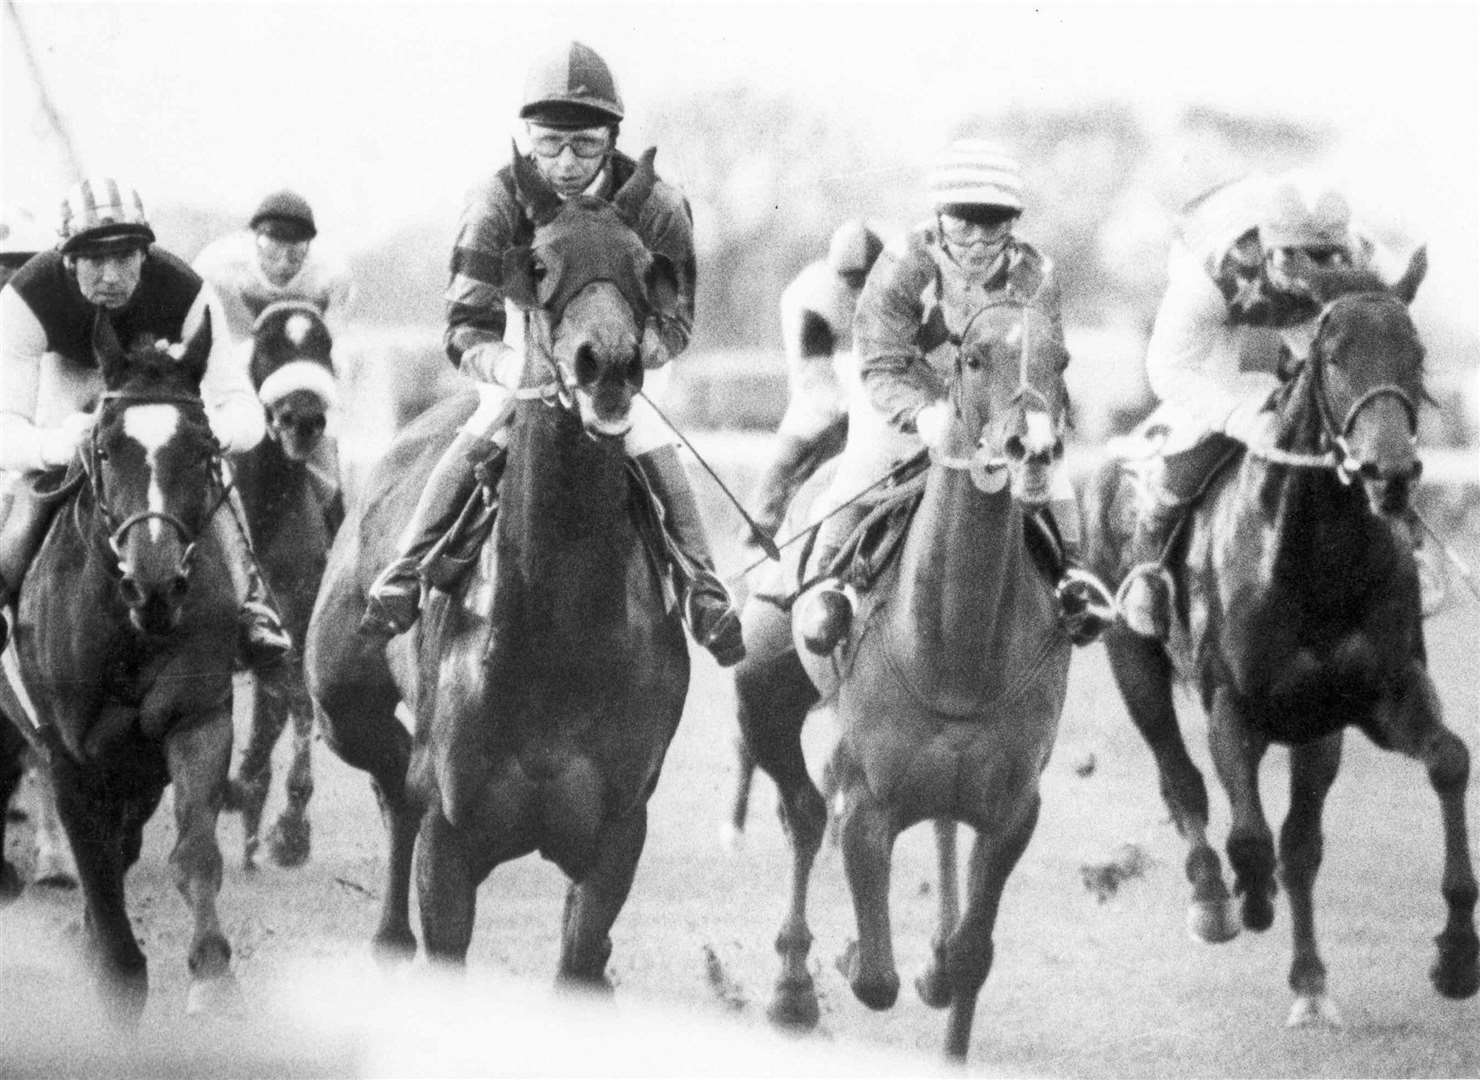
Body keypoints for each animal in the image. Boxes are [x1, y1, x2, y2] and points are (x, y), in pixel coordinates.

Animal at [0, 313, 241, 1017]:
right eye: (105, 450)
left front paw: (211, 978)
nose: (154, 583)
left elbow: (194, 852)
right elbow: (101, 880)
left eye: (202, 448)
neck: (129, 632)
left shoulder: (196, 720)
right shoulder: (68, 757)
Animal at [304, 147, 692, 982]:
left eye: (645, 264)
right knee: (393, 780)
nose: (607, 364)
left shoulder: (616, 839)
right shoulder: (452, 841)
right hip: (340, 701)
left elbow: (582, 954)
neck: (560, 634)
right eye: (539, 263)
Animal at [737, 298, 1077, 1053]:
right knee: (805, 813)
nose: (1034, 448)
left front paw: (943, 969)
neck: (958, 654)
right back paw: (791, 991)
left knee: (935, 827)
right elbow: (874, 979)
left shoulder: (1015, 806)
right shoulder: (868, 801)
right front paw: (852, 956)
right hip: (761, 691)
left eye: (1062, 359)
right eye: (973, 358)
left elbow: (971, 957)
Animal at [1077, 254, 1480, 1023]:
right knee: (1183, 782)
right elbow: (1247, 833)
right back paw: (1213, 898)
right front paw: (1244, 895)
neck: (1315, 560)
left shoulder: (1379, 697)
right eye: (1332, 357)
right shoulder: (1231, 705)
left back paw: (1311, 982)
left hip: (1317, 728)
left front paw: (1455, 955)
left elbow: (1447, 762)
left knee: (1300, 843)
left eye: (1416, 355)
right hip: (1129, 656)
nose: (1391, 472)